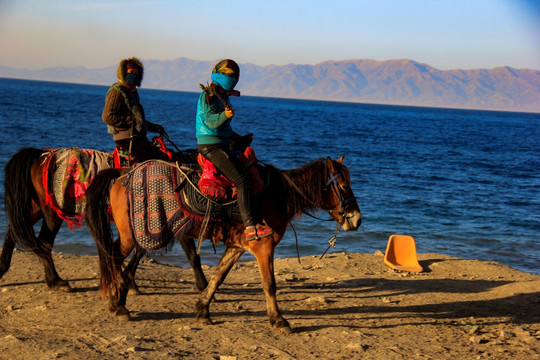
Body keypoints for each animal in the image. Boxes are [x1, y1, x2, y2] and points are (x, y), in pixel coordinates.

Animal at [0, 148, 207, 294]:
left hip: (38, 207)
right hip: (52, 212)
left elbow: (138, 251)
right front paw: (203, 285)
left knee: (13, 231)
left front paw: (129, 280)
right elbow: (192, 255)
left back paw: (4, 269)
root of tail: (42, 154)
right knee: (43, 242)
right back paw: (56, 281)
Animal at [85, 155, 362, 332]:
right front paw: (278, 321)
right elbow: (269, 285)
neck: (275, 196)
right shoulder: (263, 248)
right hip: (132, 236)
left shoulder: (238, 247)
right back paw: (117, 304)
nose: (357, 219)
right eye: (344, 185)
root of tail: (123, 174)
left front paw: (202, 310)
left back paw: (119, 301)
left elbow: (218, 276)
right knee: (112, 256)